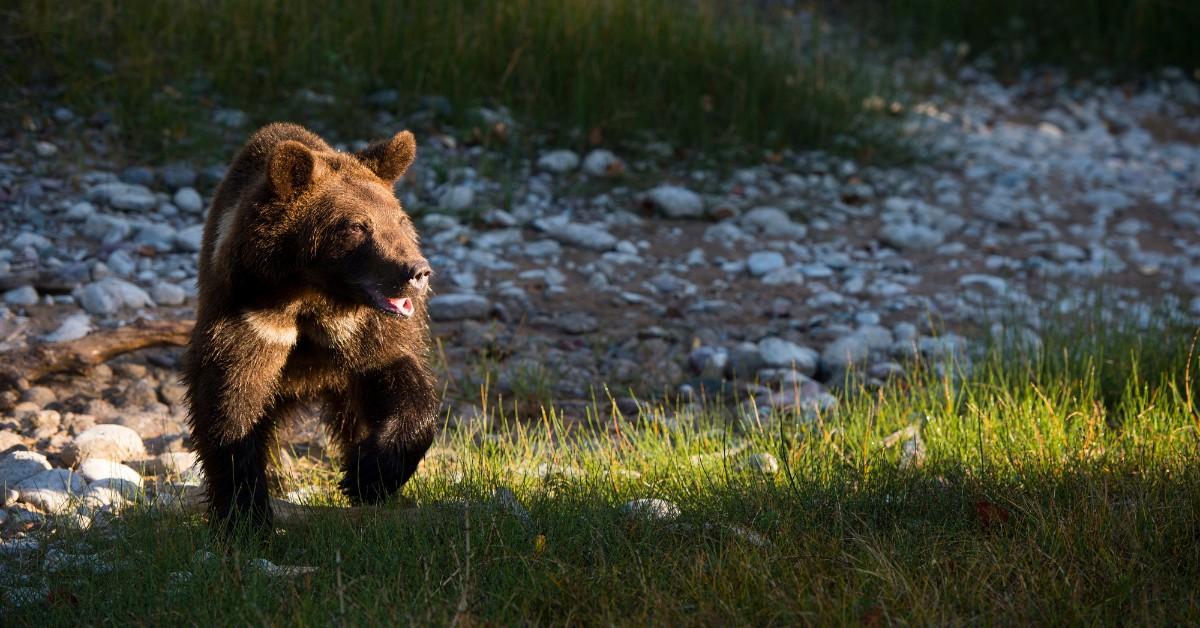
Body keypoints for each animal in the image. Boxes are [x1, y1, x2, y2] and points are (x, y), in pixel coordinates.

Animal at [182, 121, 436, 530]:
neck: (311, 297)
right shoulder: (252, 318)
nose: (417, 272)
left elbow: (399, 377)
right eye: (357, 226)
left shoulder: (363, 330)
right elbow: (231, 403)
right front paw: (245, 513)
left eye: (399, 220)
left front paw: (368, 475)